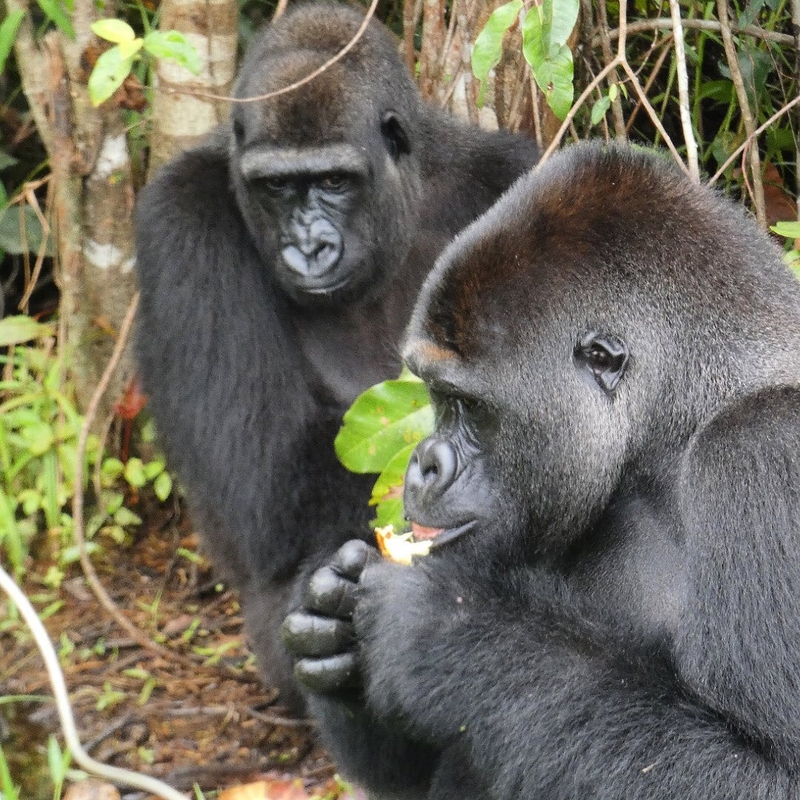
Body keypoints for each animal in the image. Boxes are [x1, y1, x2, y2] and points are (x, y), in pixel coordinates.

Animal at [134, 1, 540, 712]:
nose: (310, 248)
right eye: (276, 188)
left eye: (332, 181)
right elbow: (269, 478)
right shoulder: (180, 221)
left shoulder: (512, 172)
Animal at [282, 141, 800, 796]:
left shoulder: (765, 452)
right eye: (437, 397)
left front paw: (445, 633)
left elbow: (769, 774)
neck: (672, 423)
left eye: (470, 406)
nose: (423, 464)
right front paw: (326, 616)